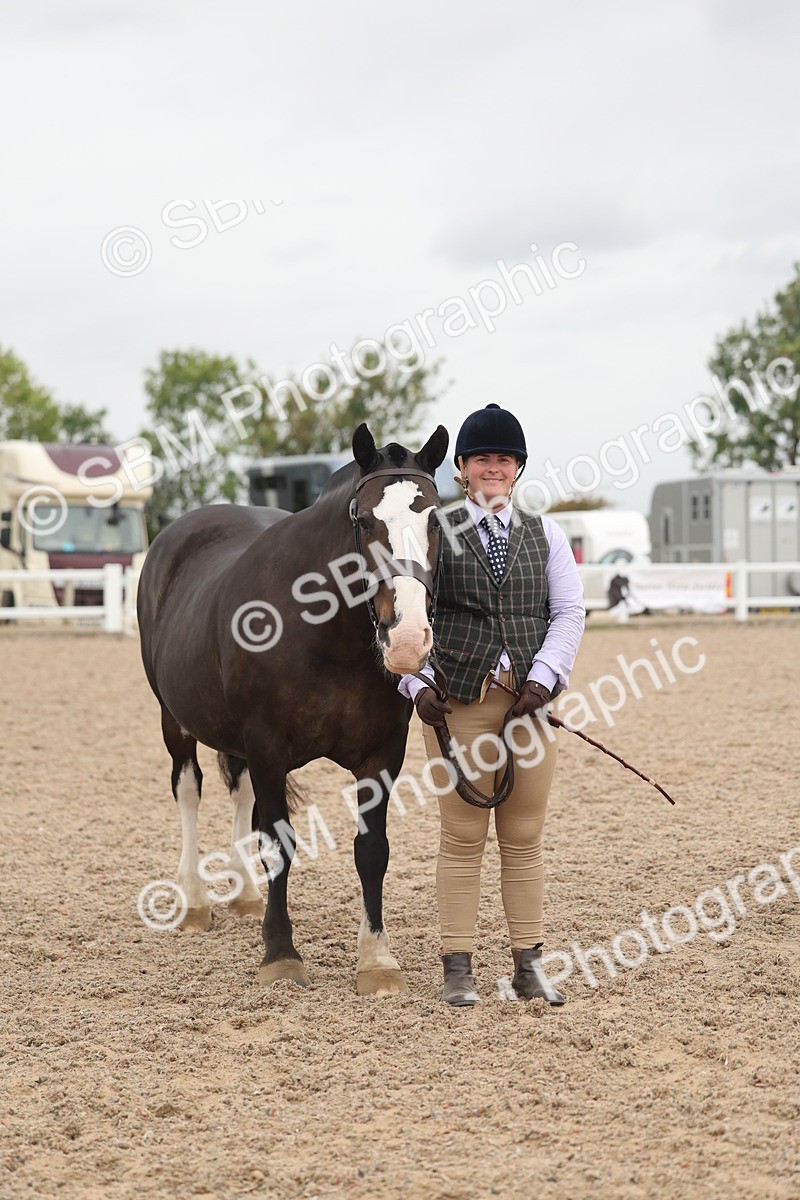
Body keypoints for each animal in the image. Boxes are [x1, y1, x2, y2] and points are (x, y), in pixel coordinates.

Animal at [137, 423, 448, 995]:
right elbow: (279, 844)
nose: (407, 638)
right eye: (364, 520)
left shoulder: (382, 754)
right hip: (175, 719)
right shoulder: (267, 745)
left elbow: (372, 851)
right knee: (188, 789)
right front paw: (281, 952)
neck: (327, 636)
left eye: (436, 519)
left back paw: (243, 896)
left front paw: (376, 958)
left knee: (238, 793)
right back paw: (194, 900)